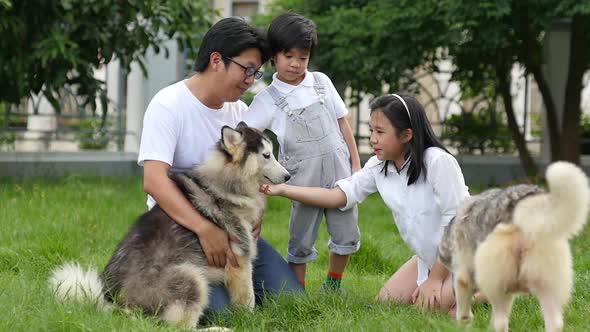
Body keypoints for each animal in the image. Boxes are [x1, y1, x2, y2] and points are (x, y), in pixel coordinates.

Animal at [48, 122, 292, 330]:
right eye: (266, 155)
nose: (288, 176)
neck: (228, 181)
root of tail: (113, 303)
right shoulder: (239, 261)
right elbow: (247, 299)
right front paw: (253, 321)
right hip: (192, 277)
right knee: (178, 328)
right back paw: (219, 328)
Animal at [440, 161, 590, 332]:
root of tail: (522, 206)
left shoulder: (463, 277)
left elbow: (463, 307)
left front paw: (463, 323)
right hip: (547, 285)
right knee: (555, 322)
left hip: (497, 288)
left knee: (500, 321)